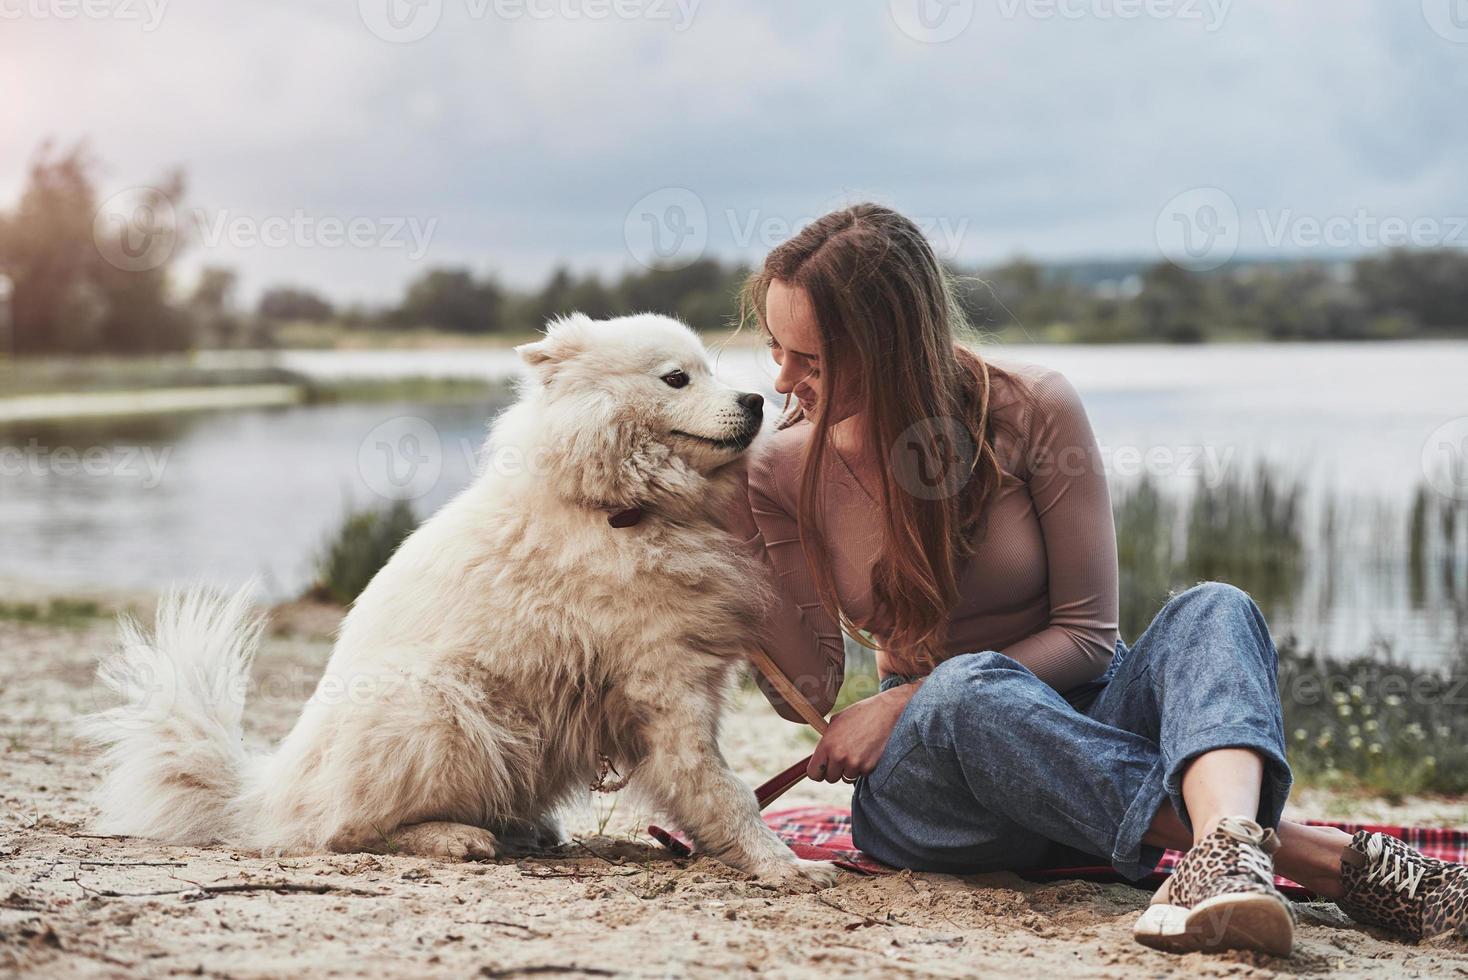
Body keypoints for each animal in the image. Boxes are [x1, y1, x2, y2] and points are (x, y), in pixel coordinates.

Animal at [83, 313, 839, 886]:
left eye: (713, 367)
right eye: (677, 377)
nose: (756, 402)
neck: (621, 510)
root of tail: (266, 790)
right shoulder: (668, 690)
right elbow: (728, 792)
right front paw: (784, 864)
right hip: (441, 704)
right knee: (341, 830)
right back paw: (454, 837)